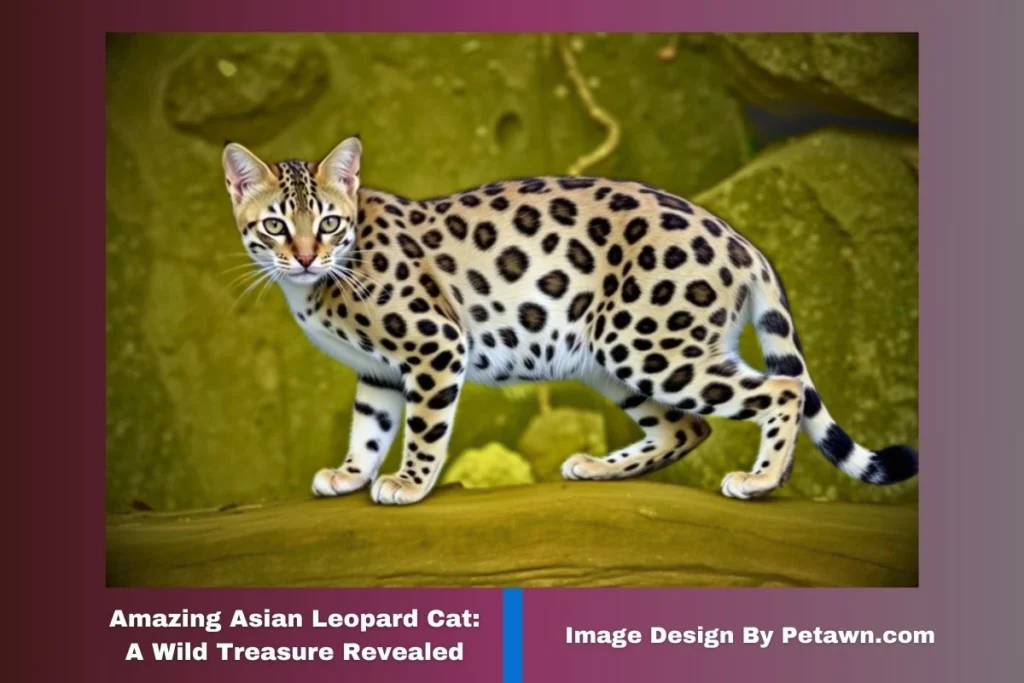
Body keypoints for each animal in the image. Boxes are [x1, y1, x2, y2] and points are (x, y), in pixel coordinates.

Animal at [221, 136, 918, 506]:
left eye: (328, 222)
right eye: (276, 224)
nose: (304, 255)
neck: (314, 289)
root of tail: (736, 236)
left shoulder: (435, 346)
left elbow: (423, 429)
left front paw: (409, 483)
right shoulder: (380, 373)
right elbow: (369, 427)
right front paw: (351, 474)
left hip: (650, 347)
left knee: (782, 387)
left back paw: (762, 478)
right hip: (614, 359)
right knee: (687, 426)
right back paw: (600, 468)